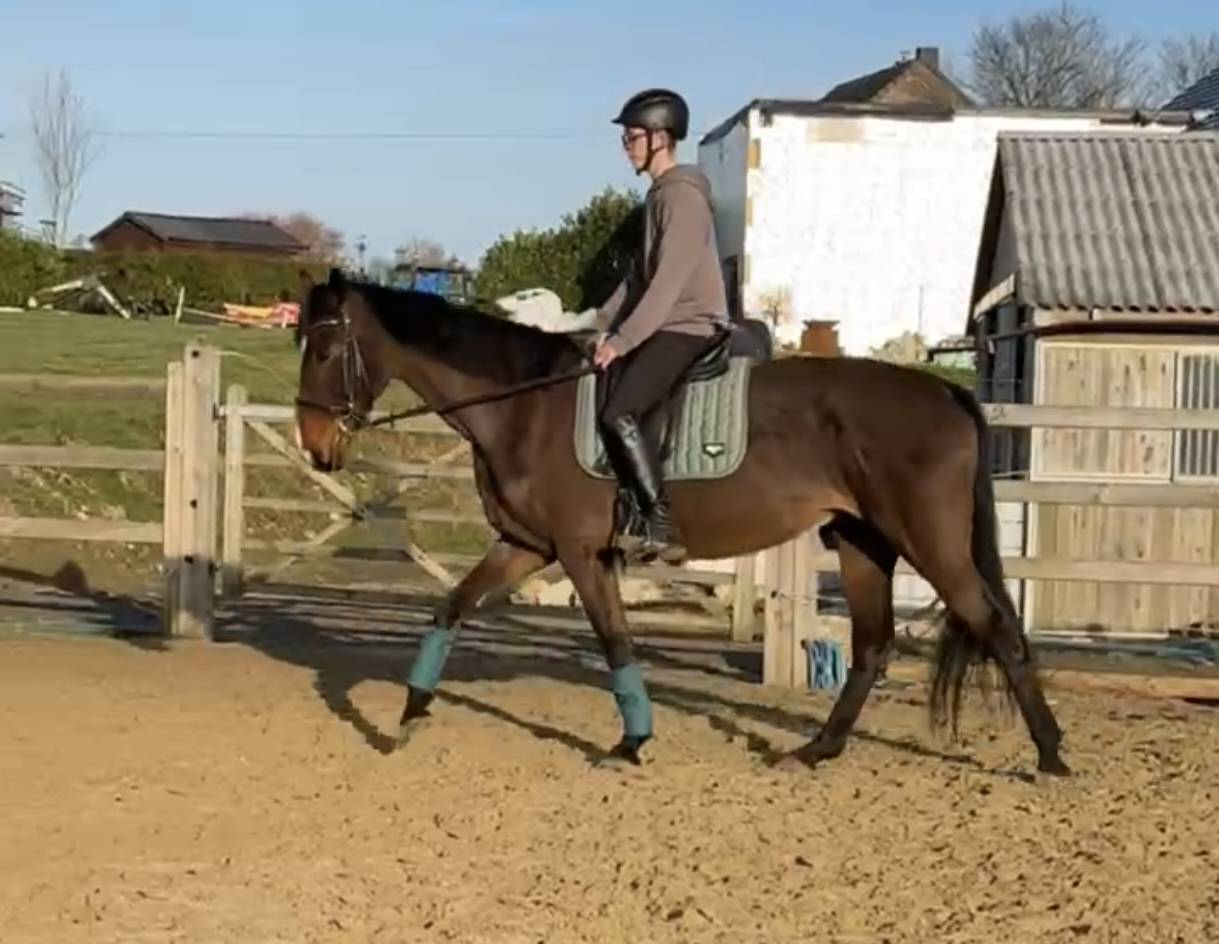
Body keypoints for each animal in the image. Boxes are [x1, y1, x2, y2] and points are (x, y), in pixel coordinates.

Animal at [291, 268, 1070, 777]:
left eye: (326, 349)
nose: (316, 448)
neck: (524, 404)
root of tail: (945, 391)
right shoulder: (524, 546)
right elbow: (449, 608)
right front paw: (409, 713)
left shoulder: (579, 552)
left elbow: (614, 642)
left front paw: (632, 742)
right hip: (861, 542)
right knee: (874, 646)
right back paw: (816, 750)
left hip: (928, 542)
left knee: (996, 627)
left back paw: (1052, 755)